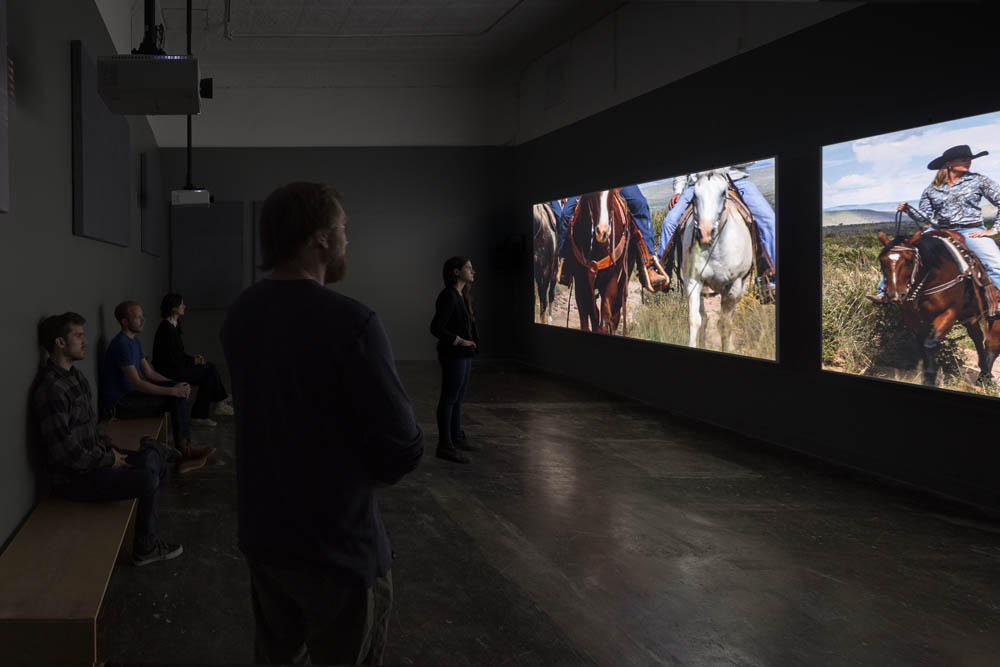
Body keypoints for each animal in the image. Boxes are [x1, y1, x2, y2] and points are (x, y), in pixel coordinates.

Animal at [568, 189, 636, 334]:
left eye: (612, 193)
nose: (603, 232)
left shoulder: (612, 279)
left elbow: (604, 321)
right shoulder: (582, 280)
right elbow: (590, 318)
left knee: (615, 316)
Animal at [684, 170, 752, 352]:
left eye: (723, 193)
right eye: (695, 194)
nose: (705, 232)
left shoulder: (734, 286)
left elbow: (725, 325)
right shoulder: (693, 281)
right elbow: (695, 320)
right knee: (705, 318)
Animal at [876, 230, 1000, 386]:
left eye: (910, 261)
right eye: (882, 261)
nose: (896, 296)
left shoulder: (949, 312)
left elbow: (929, 344)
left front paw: (930, 377)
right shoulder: (911, 316)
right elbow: (921, 343)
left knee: (992, 345)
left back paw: (985, 378)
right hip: (968, 315)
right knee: (978, 337)